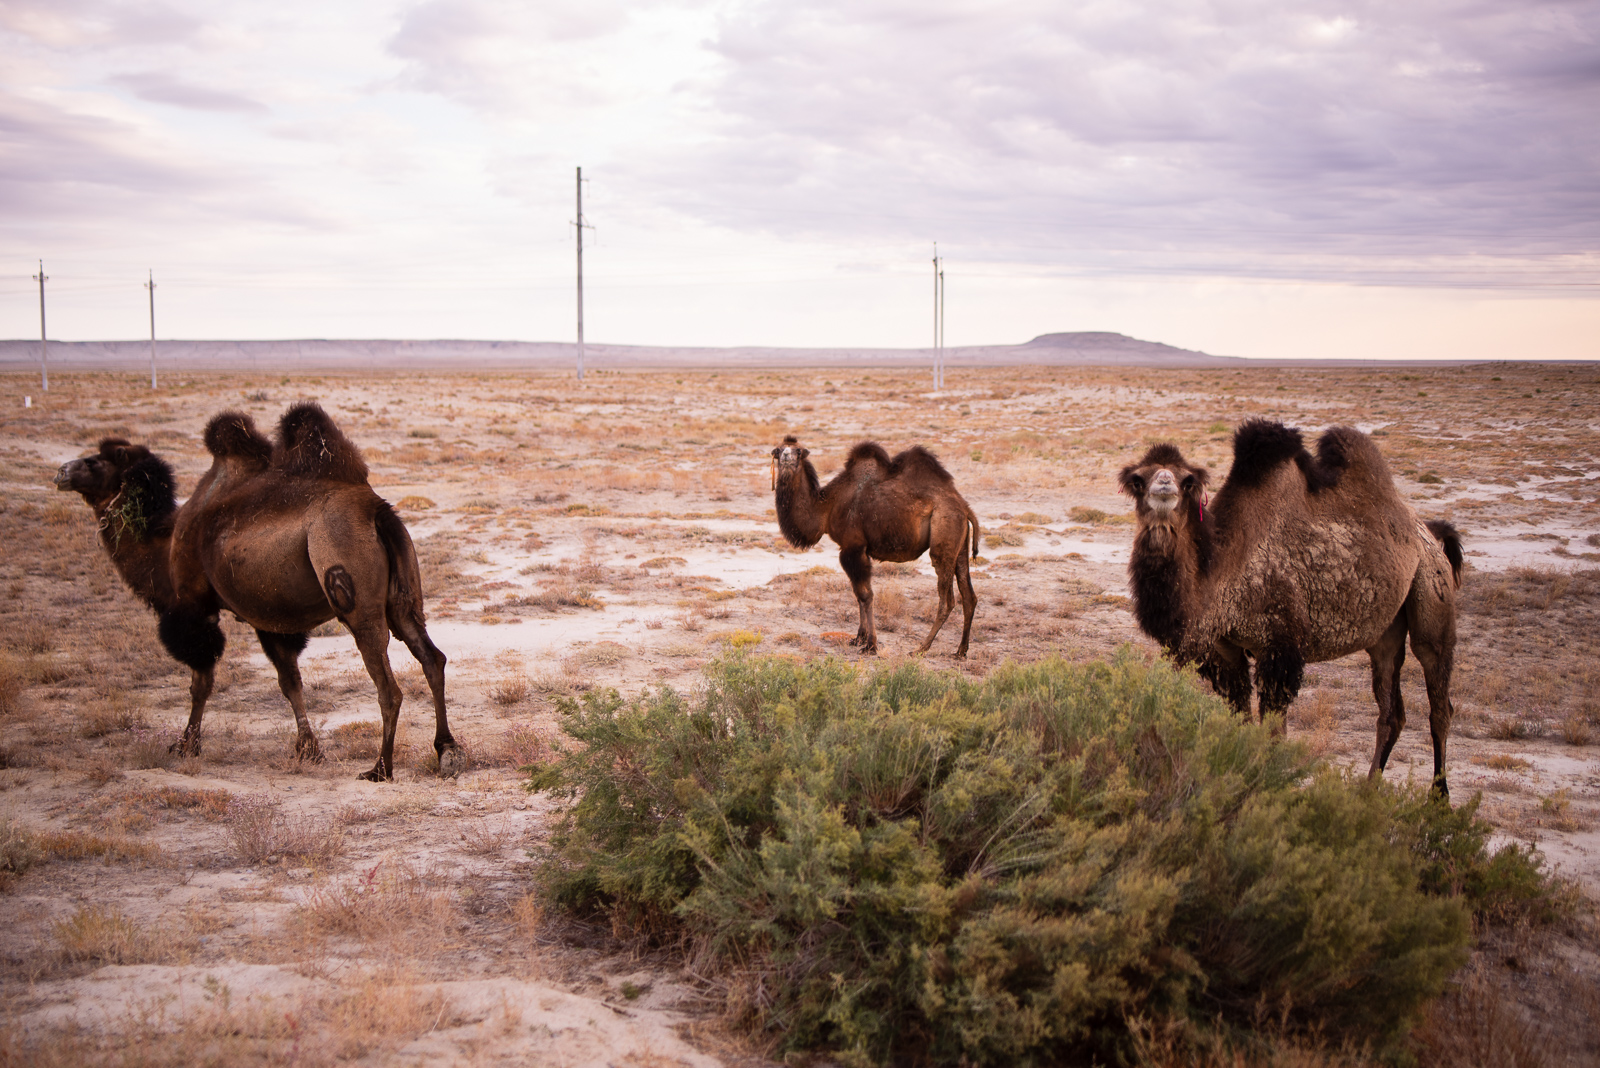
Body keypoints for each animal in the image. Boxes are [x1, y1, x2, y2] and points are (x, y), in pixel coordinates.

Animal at [56, 404, 457, 780]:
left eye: (94, 461)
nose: (61, 472)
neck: (166, 542)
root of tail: (377, 511)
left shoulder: (194, 605)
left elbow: (201, 682)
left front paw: (186, 744)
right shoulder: (270, 617)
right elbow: (290, 682)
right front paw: (308, 749)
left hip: (354, 591)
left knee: (389, 686)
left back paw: (380, 768)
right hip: (404, 595)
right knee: (431, 657)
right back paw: (447, 750)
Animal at [771, 434, 979, 655]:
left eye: (798, 451)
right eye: (779, 449)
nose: (786, 456)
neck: (827, 507)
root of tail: (964, 507)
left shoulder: (853, 547)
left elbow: (865, 595)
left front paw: (871, 644)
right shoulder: (855, 550)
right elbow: (858, 594)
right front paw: (858, 638)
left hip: (944, 537)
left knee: (947, 599)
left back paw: (921, 648)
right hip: (960, 545)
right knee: (968, 595)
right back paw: (961, 651)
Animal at [1120, 422, 1459, 796]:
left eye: (1187, 480)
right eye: (1139, 479)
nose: (1164, 484)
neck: (1227, 571)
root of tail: (1427, 530)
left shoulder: (1279, 648)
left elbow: (1272, 733)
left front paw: (1269, 788)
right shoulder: (1225, 650)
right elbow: (1240, 719)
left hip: (1432, 588)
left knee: (1438, 695)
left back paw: (1439, 798)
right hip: (1384, 632)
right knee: (1391, 709)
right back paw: (1367, 790)